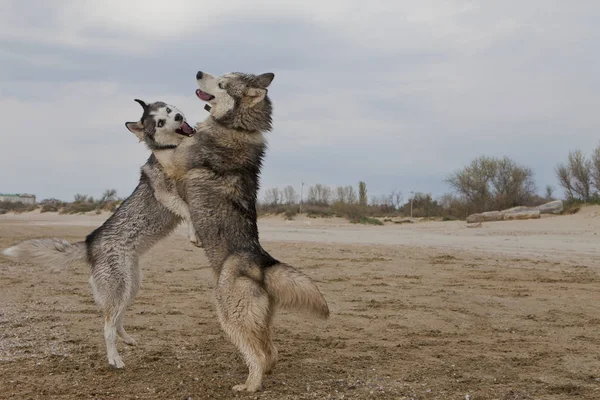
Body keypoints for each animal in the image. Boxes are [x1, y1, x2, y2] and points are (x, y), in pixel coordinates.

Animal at [3, 102, 198, 368]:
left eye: (168, 110)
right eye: (159, 122)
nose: (178, 116)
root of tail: (89, 243)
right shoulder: (165, 193)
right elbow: (186, 209)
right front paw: (193, 233)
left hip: (130, 286)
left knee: (116, 319)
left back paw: (126, 339)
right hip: (119, 287)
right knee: (107, 326)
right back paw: (114, 358)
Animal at [143, 70, 330, 392]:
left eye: (221, 83)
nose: (198, 72)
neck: (237, 127)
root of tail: (262, 262)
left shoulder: (175, 161)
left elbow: (158, 146)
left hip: (229, 316)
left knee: (258, 355)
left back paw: (250, 385)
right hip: (258, 321)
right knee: (271, 352)